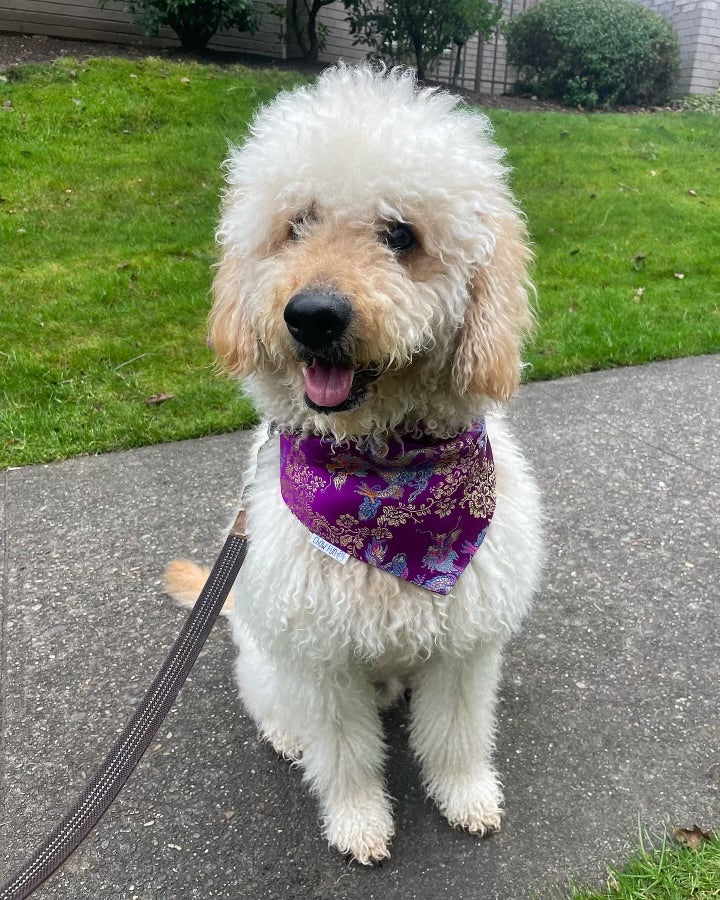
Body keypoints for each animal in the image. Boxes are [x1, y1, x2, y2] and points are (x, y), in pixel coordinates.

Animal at [166, 63, 544, 864]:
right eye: (296, 224)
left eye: (401, 234)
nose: (311, 315)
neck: (381, 474)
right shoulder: (321, 662)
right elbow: (343, 754)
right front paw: (358, 821)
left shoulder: (463, 650)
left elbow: (456, 735)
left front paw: (465, 795)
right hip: (267, 655)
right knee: (274, 705)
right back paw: (288, 736)